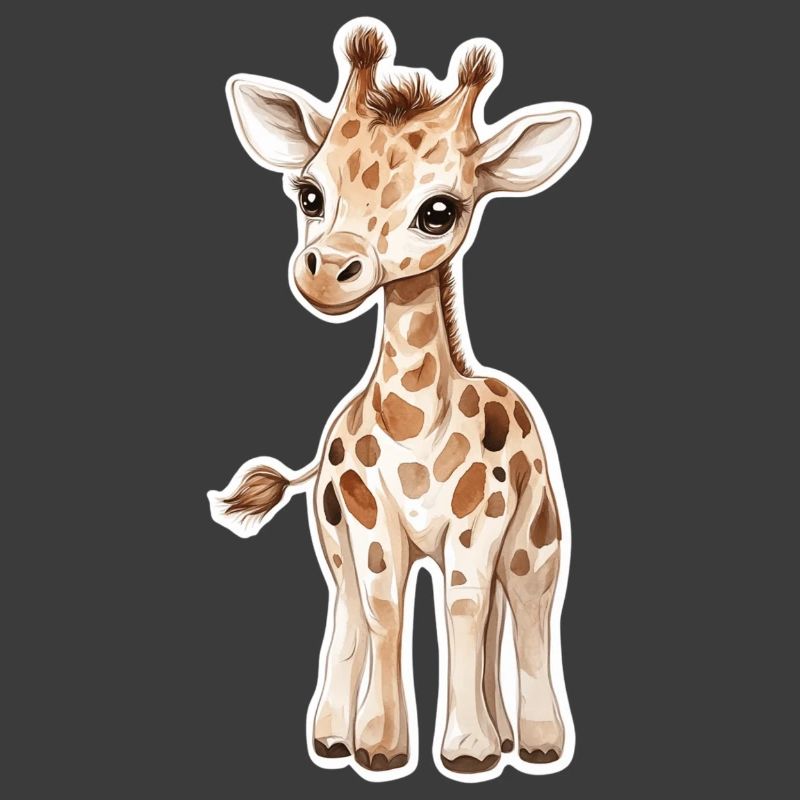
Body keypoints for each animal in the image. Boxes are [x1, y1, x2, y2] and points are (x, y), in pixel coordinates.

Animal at [209, 19, 590, 781]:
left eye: (440, 210)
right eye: (309, 194)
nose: (327, 270)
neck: (414, 422)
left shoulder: (478, 521)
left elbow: (464, 611)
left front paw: (468, 752)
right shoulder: (367, 519)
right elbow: (386, 609)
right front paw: (379, 748)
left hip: (535, 533)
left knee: (522, 601)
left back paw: (533, 743)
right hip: (331, 535)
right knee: (355, 609)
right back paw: (333, 737)